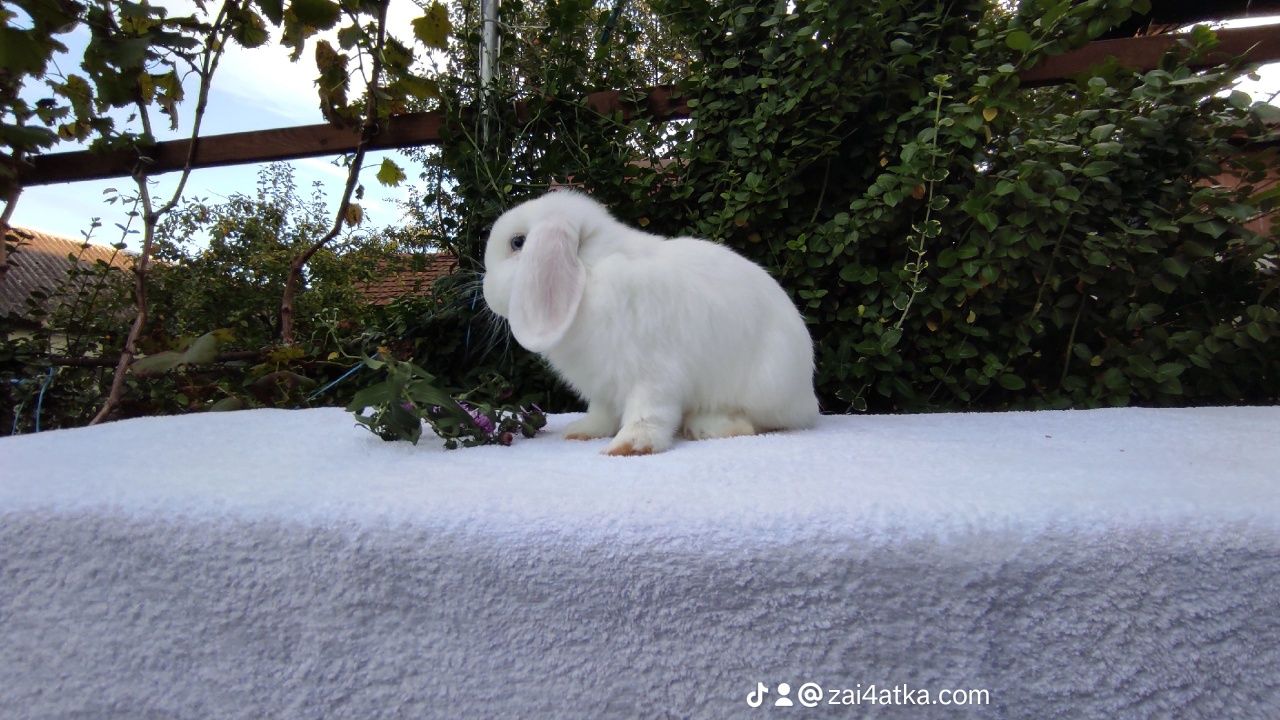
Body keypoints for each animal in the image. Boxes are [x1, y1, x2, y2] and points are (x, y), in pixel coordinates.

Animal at [481, 188, 819, 450]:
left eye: (517, 242)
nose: (485, 291)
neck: (591, 271)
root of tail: (807, 396)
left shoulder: (653, 375)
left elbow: (648, 413)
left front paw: (628, 446)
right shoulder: (603, 386)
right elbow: (601, 413)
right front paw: (583, 432)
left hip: (762, 386)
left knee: (754, 423)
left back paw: (706, 426)